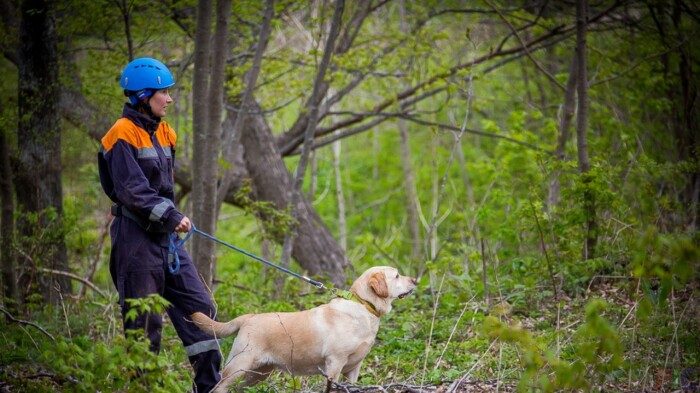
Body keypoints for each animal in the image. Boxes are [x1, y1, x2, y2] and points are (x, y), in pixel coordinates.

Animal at [190, 264, 416, 390]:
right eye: (397, 276)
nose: (415, 279)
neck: (363, 305)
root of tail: (248, 318)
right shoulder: (334, 364)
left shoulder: (353, 369)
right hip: (239, 366)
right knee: (219, 387)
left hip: (258, 373)